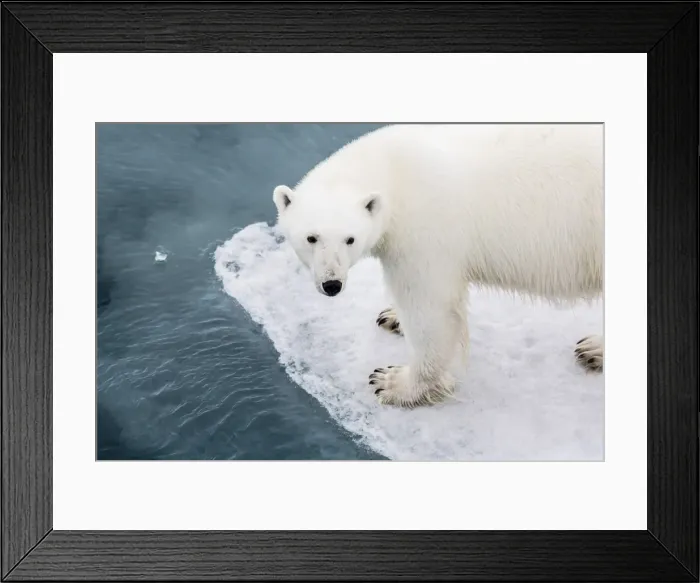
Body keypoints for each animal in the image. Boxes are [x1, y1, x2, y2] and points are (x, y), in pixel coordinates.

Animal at [272, 123, 604, 409]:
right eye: (311, 237)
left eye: (350, 239)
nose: (332, 284)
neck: (394, 170)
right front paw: (392, 316)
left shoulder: (424, 232)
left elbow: (431, 310)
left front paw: (394, 382)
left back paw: (594, 349)